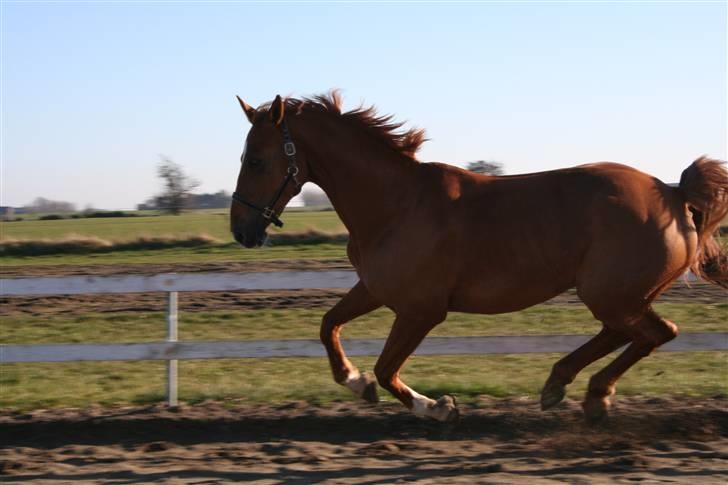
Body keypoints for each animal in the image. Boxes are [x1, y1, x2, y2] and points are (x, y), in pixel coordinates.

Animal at [229, 91, 728, 420]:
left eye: (256, 160)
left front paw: (435, 407)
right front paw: (356, 383)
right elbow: (328, 325)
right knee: (631, 333)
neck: (397, 204)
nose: (240, 229)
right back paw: (565, 386)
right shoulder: (375, 289)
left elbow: (387, 368)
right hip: (616, 295)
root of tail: (673, 194)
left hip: (612, 293)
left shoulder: (421, 310)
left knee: (654, 332)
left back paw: (588, 392)